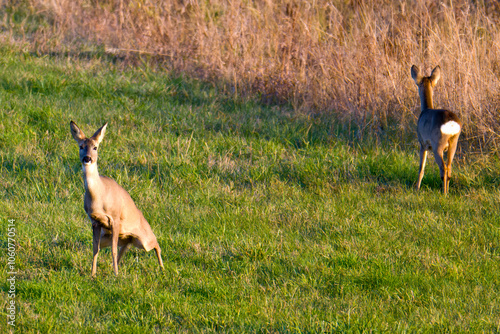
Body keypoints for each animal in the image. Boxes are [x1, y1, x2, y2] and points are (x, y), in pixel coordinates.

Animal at [70, 120, 164, 276]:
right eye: (81, 146)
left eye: (95, 147)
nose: (87, 158)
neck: (99, 196)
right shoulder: (95, 222)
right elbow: (95, 249)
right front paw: (93, 274)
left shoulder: (115, 218)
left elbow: (112, 250)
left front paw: (116, 275)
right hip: (120, 238)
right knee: (124, 247)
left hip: (143, 239)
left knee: (156, 244)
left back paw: (162, 269)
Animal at [412, 65, 462, 194]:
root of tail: (451, 123)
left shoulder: (422, 143)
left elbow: (421, 168)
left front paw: (417, 188)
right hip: (453, 142)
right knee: (449, 167)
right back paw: (447, 192)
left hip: (437, 144)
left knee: (443, 168)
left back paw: (444, 194)